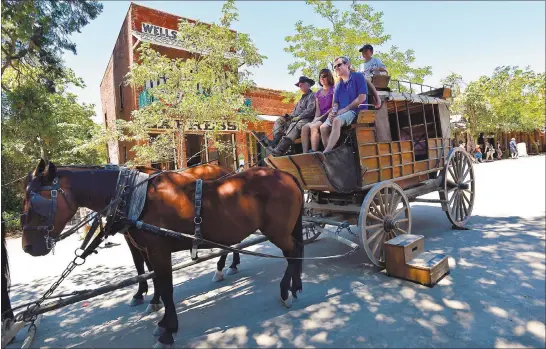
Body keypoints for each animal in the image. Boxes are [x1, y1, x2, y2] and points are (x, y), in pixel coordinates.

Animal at [129, 164, 241, 312]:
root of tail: (227, 170)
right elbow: (141, 266)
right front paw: (141, 294)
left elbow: (146, 267)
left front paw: (153, 299)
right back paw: (233, 264)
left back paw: (221, 269)